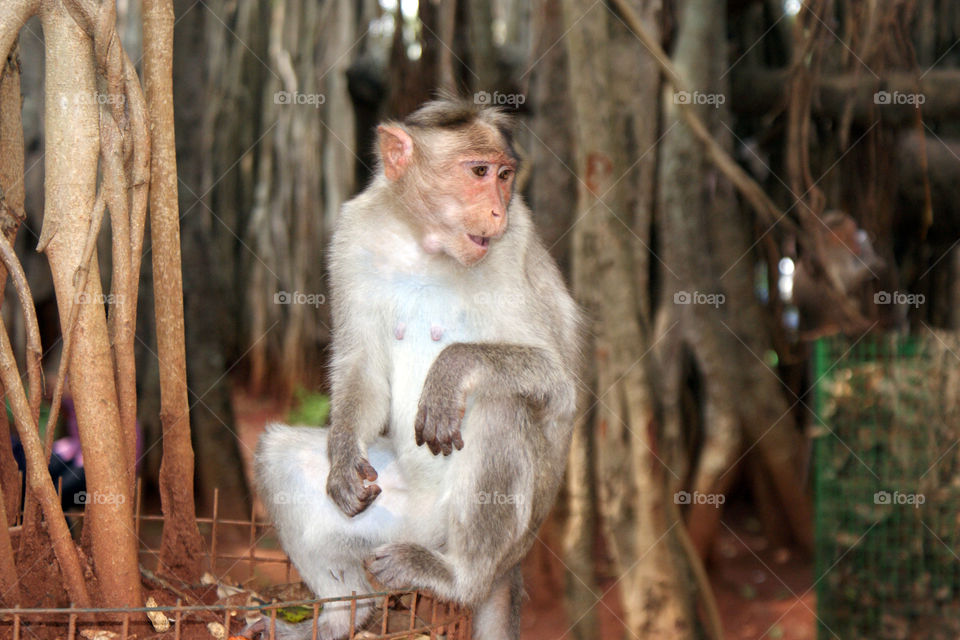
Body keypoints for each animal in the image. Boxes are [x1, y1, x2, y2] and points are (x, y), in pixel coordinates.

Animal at [254, 98, 580, 640]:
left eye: (505, 176)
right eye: (478, 172)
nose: (497, 209)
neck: (427, 244)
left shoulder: (515, 244)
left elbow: (559, 381)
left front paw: (451, 370)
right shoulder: (352, 235)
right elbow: (361, 364)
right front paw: (341, 461)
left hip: (475, 530)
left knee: (499, 405)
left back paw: (459, 578)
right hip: (393, 514)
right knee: (279, 456)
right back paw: (343, 617)